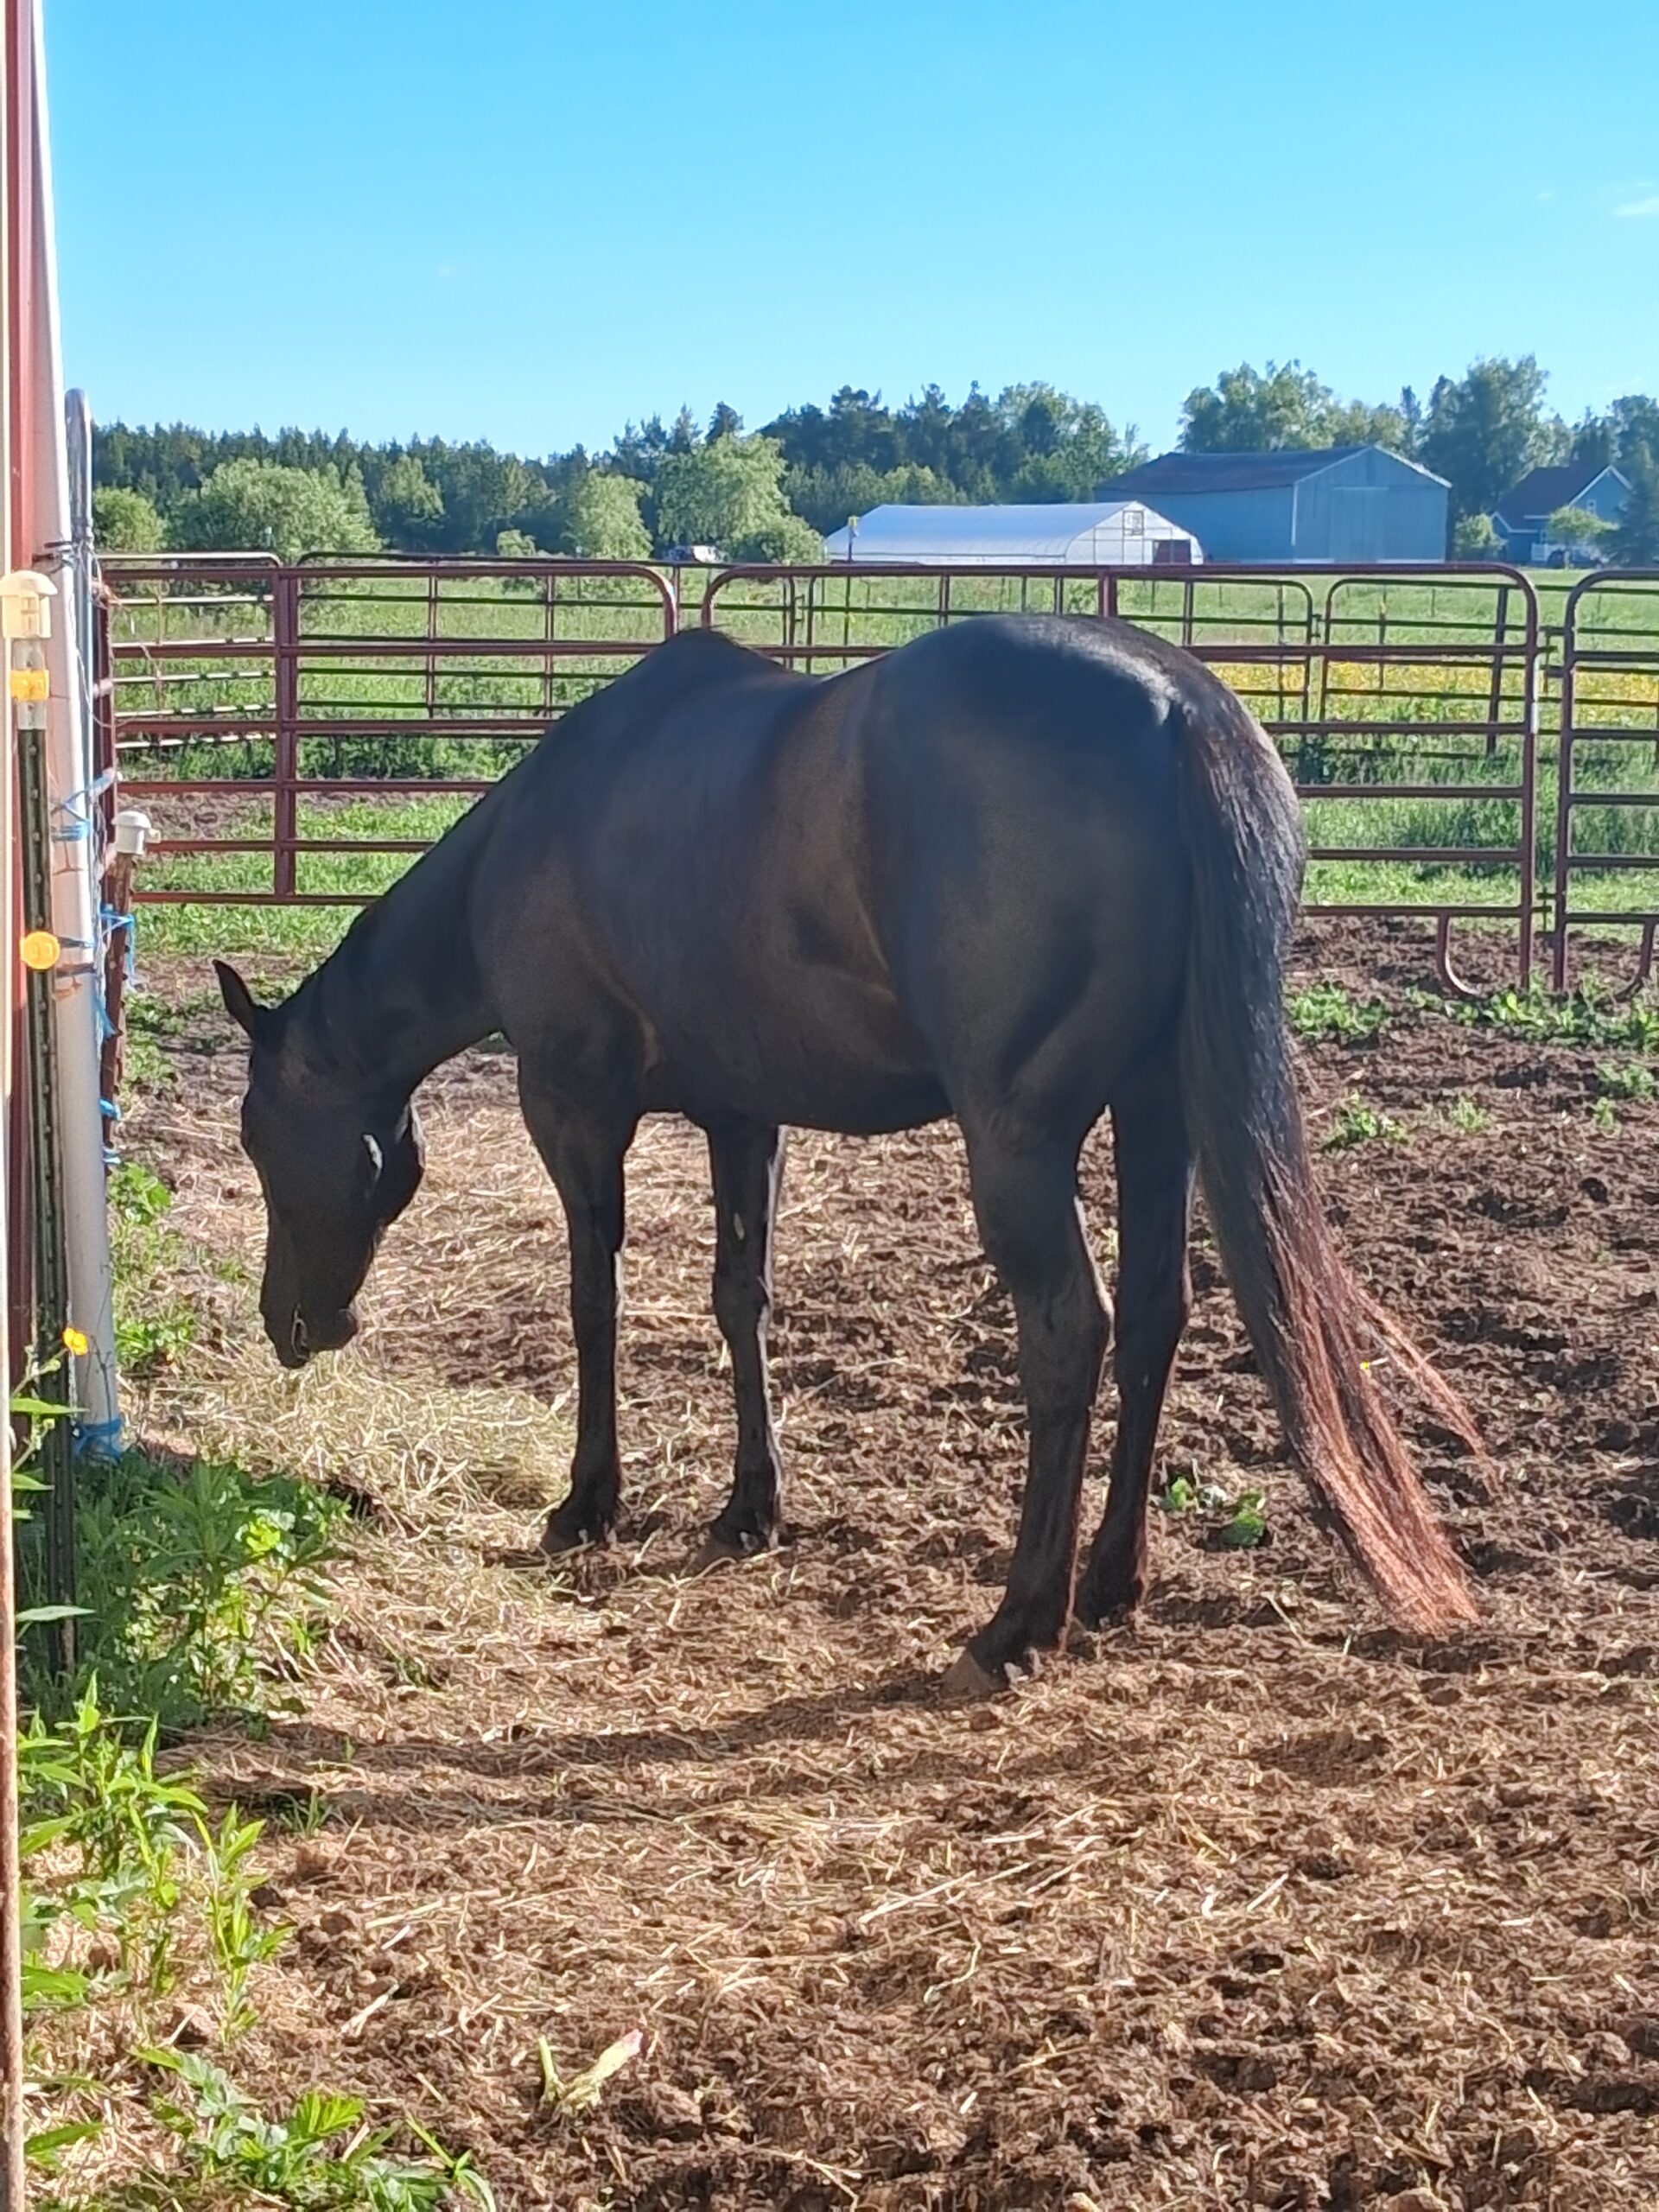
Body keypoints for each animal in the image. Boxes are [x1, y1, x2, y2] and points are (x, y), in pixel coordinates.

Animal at [215, 614, 1477, 1693]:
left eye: (257, 1136)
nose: (292, 1324)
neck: (539, 836)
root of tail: (1185, 708)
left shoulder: (573, 1106)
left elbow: (595, 1299)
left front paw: (590, 1500)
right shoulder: (743, 1115)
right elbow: (741, 1297)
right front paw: (751, 1506)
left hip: (1019, 1146)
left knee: (1072, 1329)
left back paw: (1022, 1619)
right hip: (1158, 1114)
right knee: (1159, 1317)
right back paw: (1113, 1580)